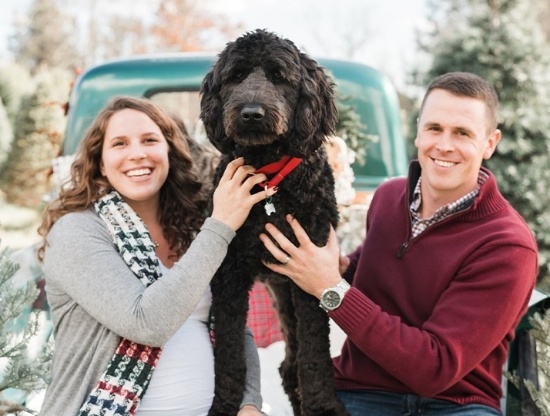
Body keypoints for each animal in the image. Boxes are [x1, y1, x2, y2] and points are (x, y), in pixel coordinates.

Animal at [203, 30, 350, 416]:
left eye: (279, 76)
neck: (269, 180)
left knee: (293, 366)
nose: (251, 114)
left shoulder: (312, 272)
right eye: (236, 76)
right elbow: (229, 354)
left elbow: (314, 354)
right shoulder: (229, 276)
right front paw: (224, 404)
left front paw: (323, 406)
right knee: (287, 368)